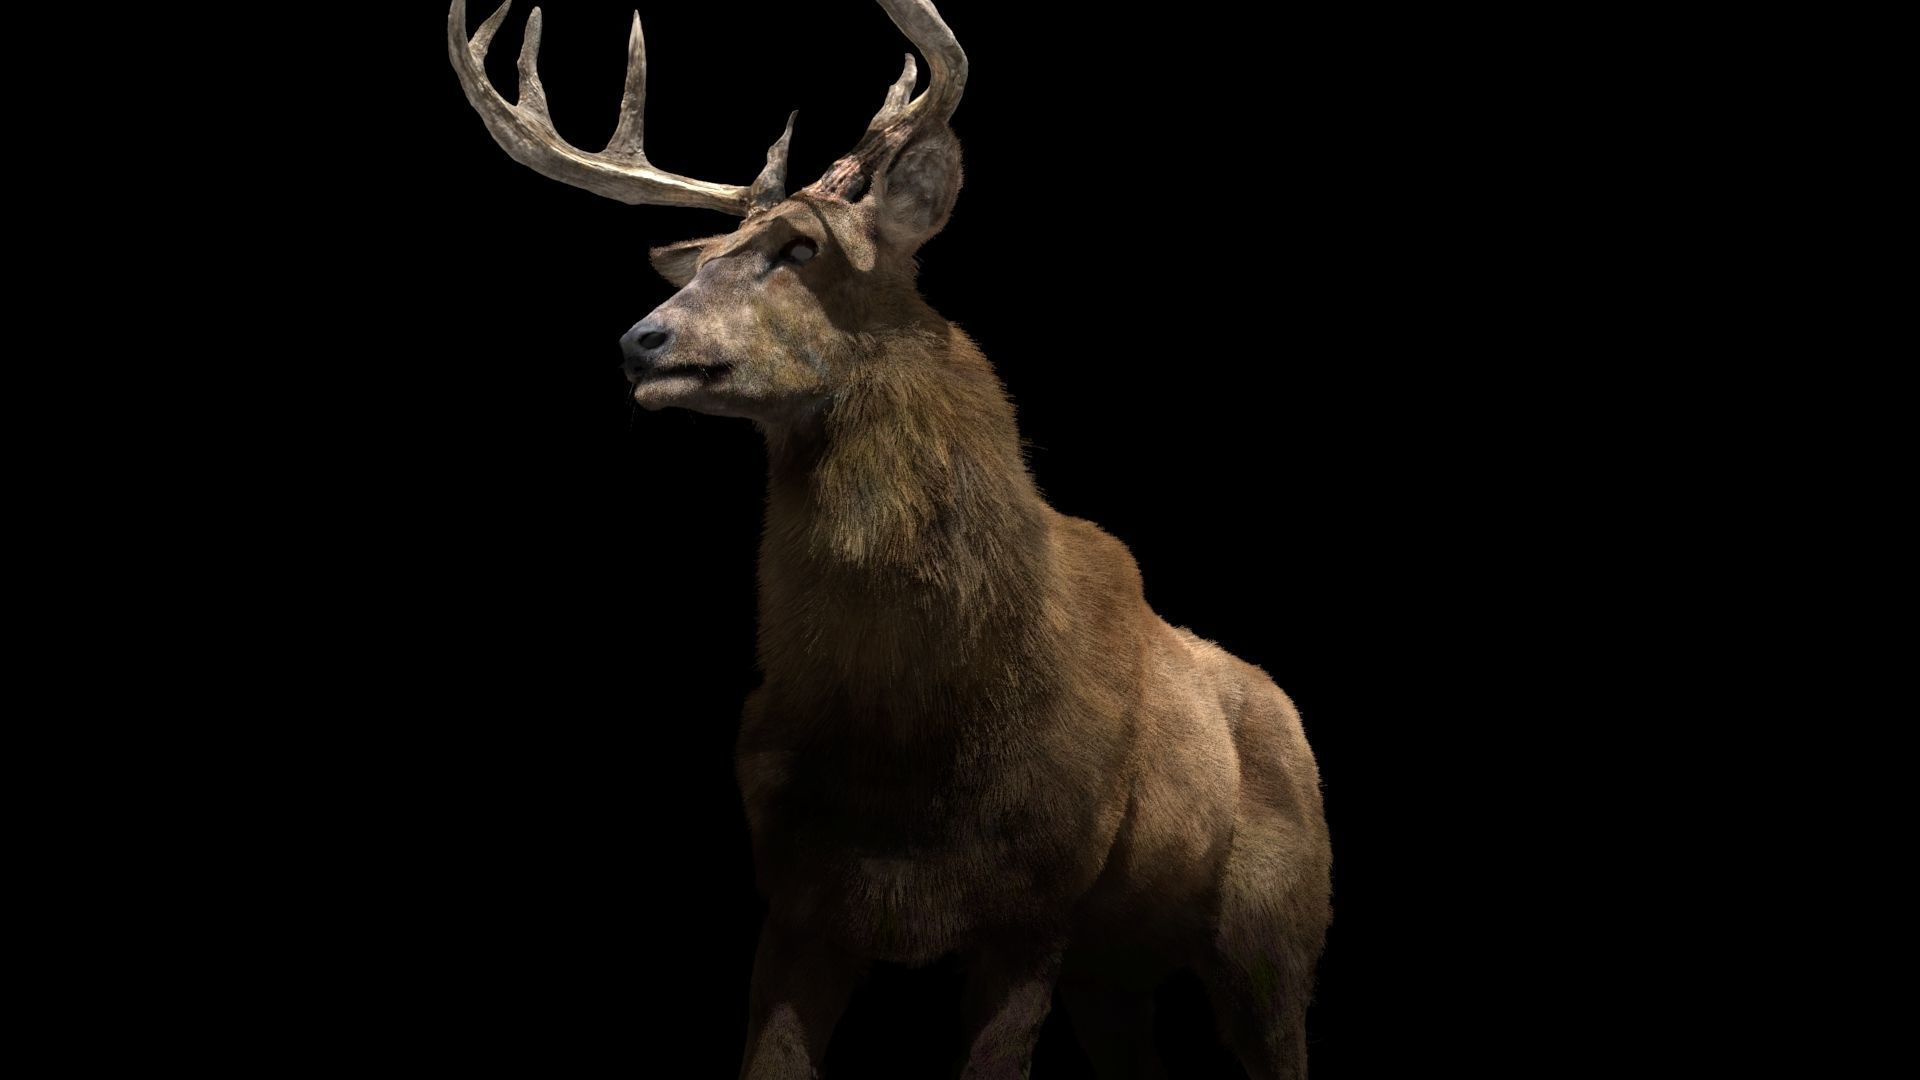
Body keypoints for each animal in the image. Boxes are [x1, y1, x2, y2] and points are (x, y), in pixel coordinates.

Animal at [449, 2, 1331, 1076]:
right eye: (711, 254)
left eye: (802, 249)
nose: (639, 342)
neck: (908, 722)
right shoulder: (798, 900)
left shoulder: (1036, 904)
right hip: (1117, 968)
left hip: (1275, 930)